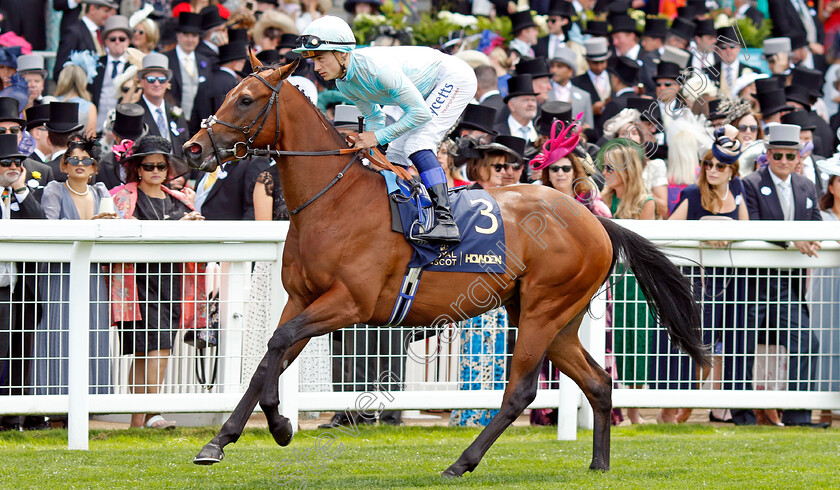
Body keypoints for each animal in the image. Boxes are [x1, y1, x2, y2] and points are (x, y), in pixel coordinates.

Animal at [184, 54, 708, 478]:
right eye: (226, 94)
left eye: (246, 99)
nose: (192, 149)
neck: (333, 198)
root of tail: (595, 219)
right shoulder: (302, 298)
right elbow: (268, 357)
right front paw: (223, 440)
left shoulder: (350, 303)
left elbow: (278, 345)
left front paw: (278, 423)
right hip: (553, 317)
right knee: (598, 382)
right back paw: (599, 463)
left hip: (545, 310)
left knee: (520, 391)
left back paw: (462, 462)